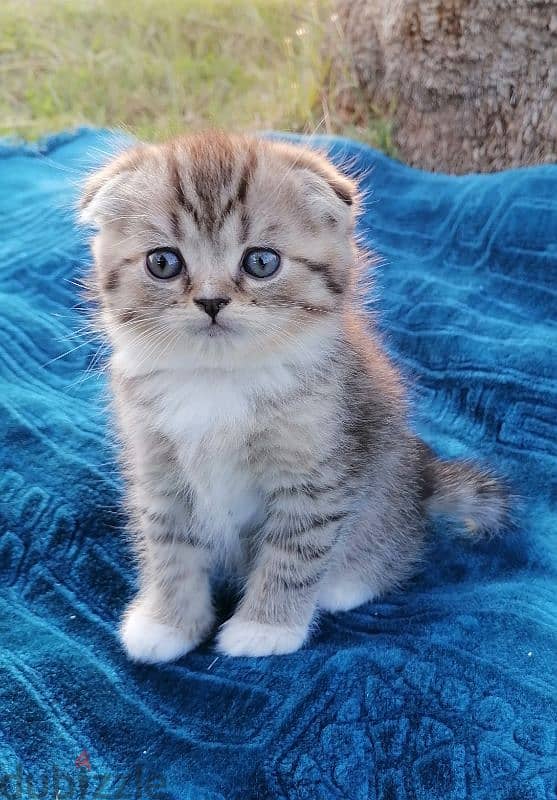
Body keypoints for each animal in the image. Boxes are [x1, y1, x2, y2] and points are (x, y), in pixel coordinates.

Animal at [79, 131, 508, 660]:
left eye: (261, 262)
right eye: (163, 262)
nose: (211, 301)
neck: (218, 380)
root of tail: (423, 483)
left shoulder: (318, 472)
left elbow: (295, 552)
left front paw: (266, 628)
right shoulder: (158, 470)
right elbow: (169, 550)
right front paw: (169, 622)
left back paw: (350, 583)